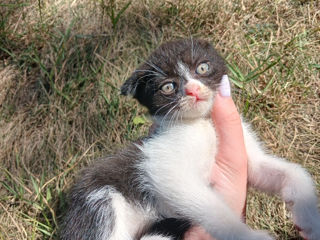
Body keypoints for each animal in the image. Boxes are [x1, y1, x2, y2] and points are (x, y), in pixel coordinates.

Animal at [60, 38, 320, 239]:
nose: (193, 90)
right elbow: (213, 209)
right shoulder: (164, 167)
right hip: (98, 202)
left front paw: (309, 216)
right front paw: (249, 236)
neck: (202, 124)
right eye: (168, 87)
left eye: (202, 68)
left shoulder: (250, 160)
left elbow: (288, 171)